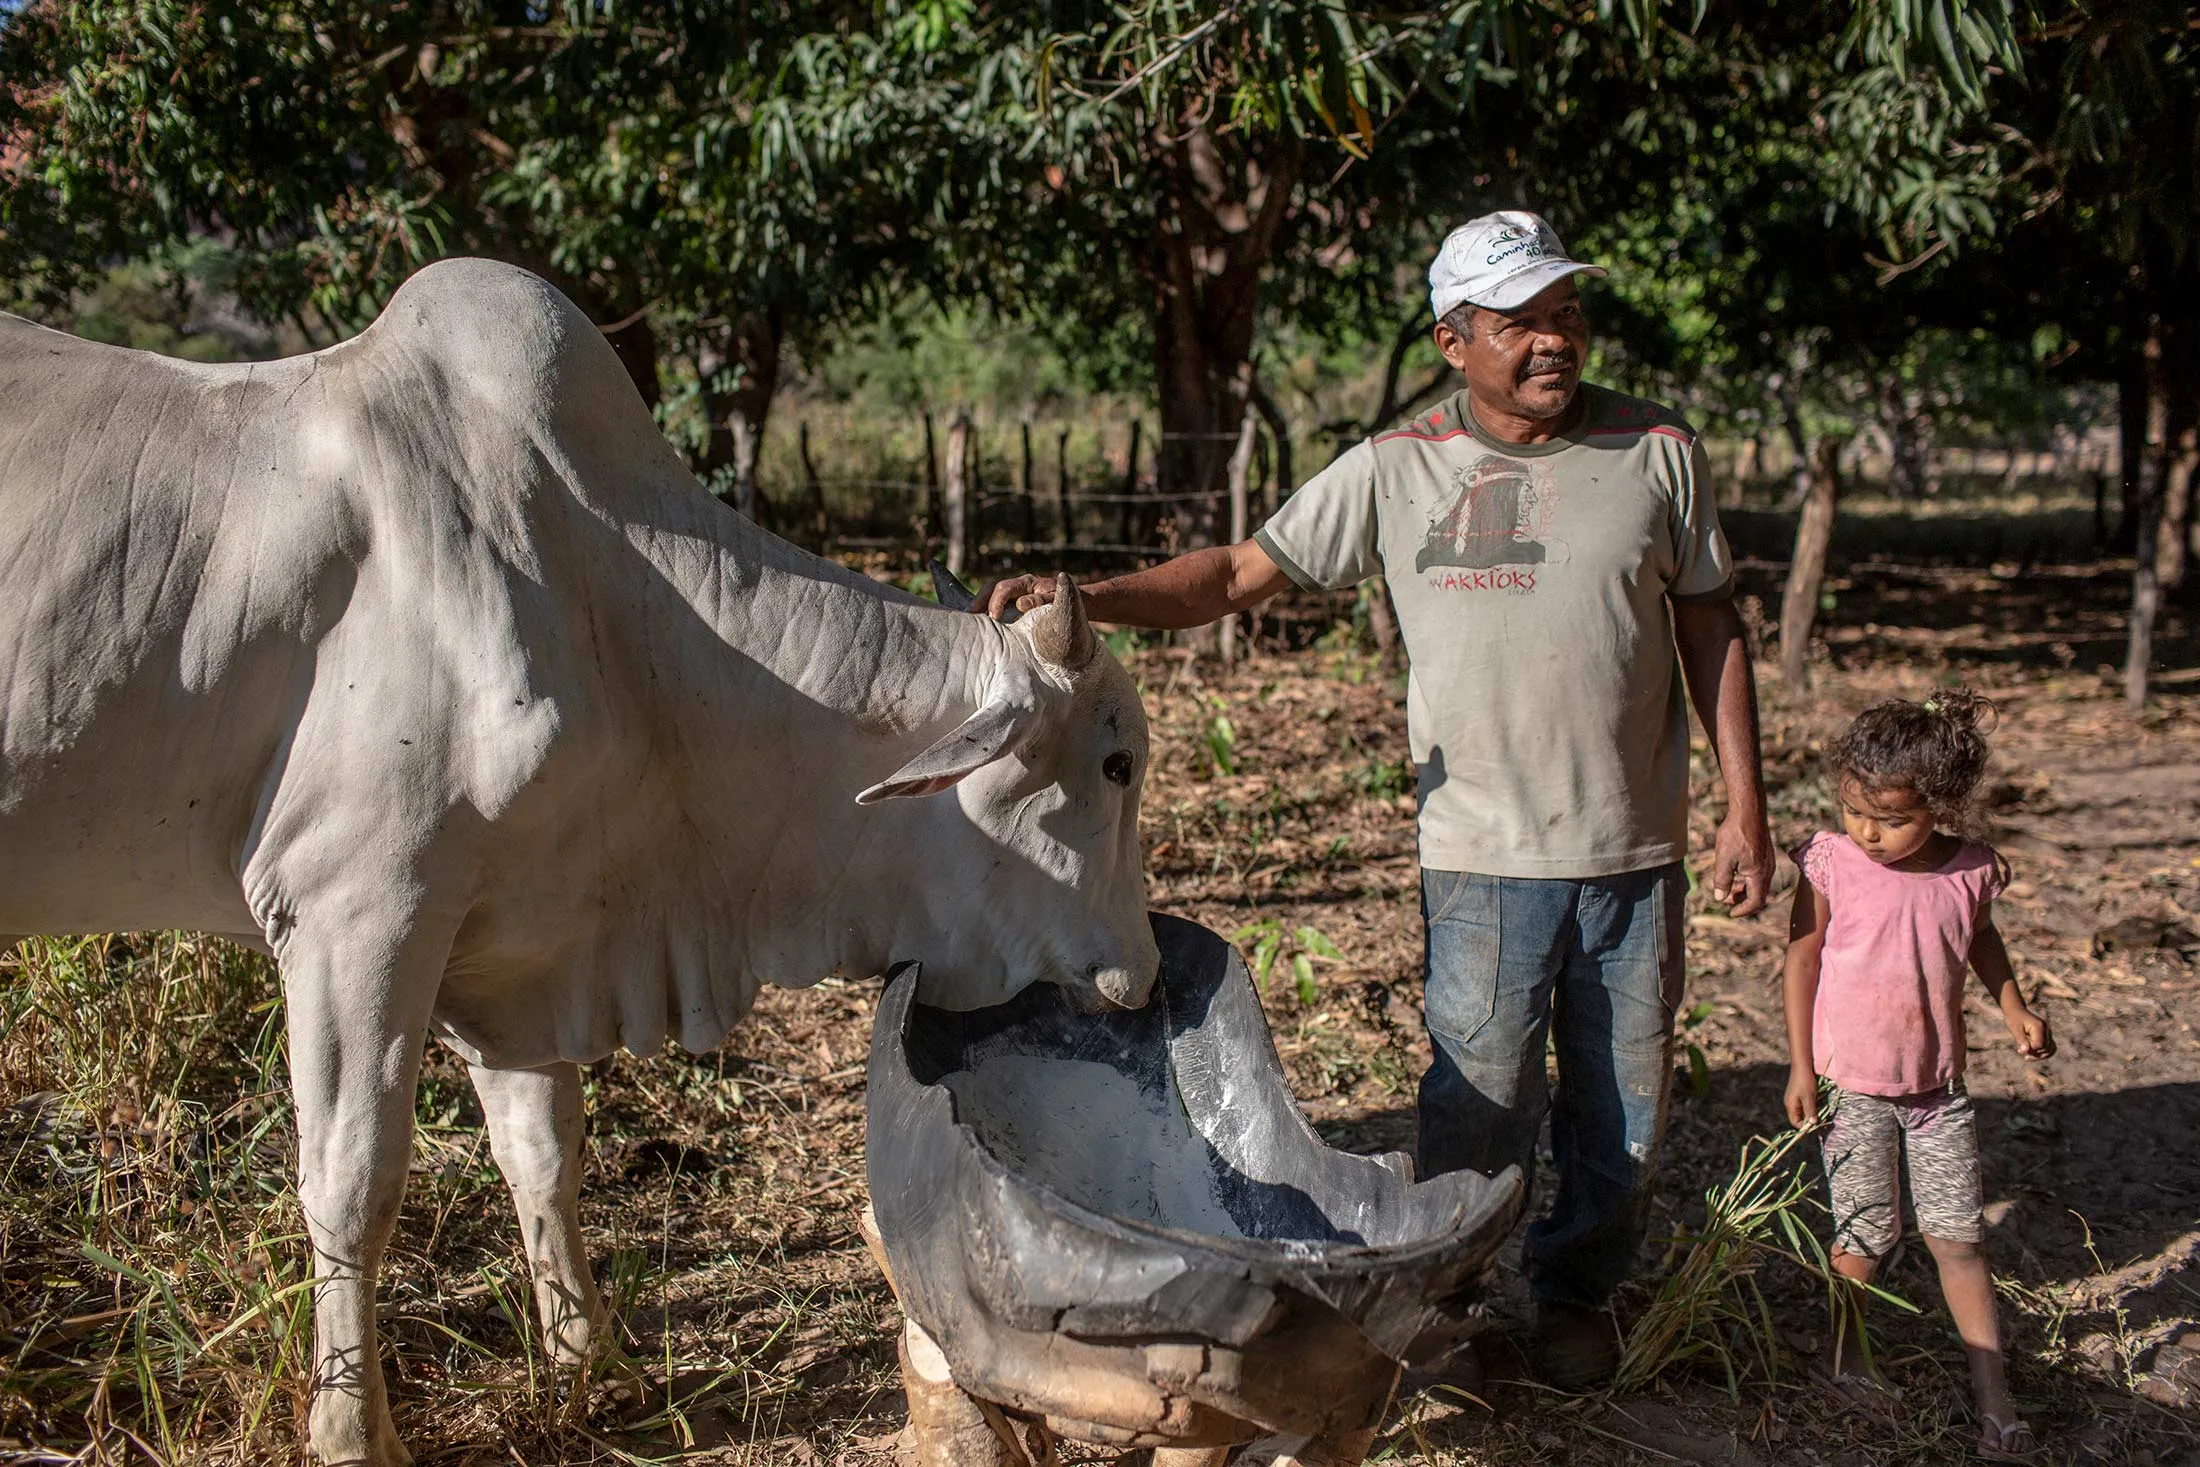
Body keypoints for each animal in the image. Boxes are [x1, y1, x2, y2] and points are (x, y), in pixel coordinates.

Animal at [0, 258, 1161, 1467]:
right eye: (1116, 762)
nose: (1145, 972)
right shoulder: (355, 913)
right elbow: (351, 1181)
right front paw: (352, 1430)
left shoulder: (524, 943)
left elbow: (542, 1150)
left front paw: (590, 1363)